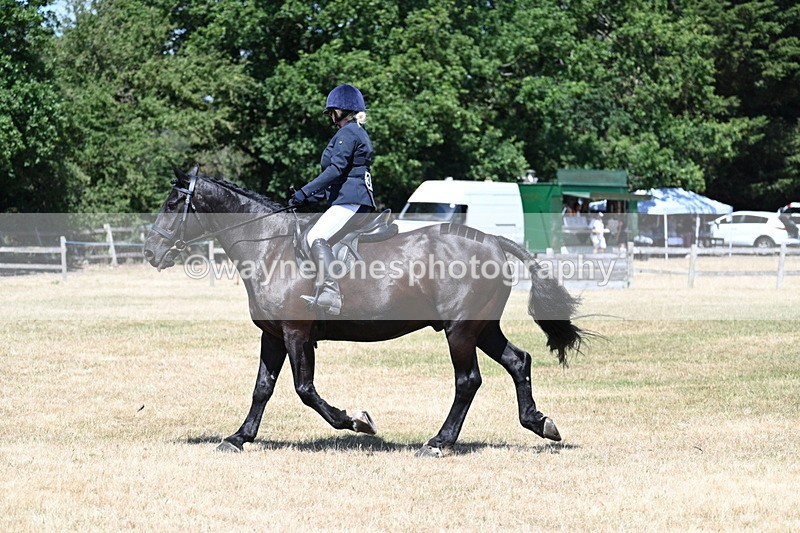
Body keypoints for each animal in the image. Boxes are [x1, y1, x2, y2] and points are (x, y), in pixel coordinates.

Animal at [143, 166, 585, 457]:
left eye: (172, 202)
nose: (150, 252)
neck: (270, 248)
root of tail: (493, 240)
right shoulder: (273, 334)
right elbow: (262, 388)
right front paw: (239, 437)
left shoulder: (295, 333)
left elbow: (305, 390)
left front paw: (356, 421)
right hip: (482, 327)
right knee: (518, 361)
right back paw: (539, 423)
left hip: (459, 330)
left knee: (468, 381)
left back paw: (439, 442)